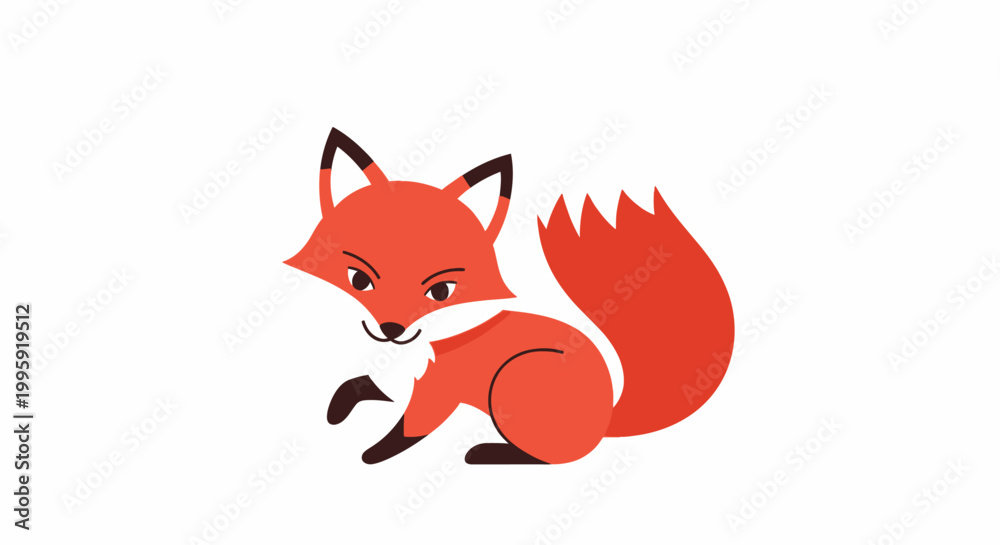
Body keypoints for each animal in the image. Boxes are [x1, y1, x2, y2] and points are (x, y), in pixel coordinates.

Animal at [285, 127, 735, 465]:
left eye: (441, 291)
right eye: (358, 280)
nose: (391, 327)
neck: (407, 352)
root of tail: (607, 416)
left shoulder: (435, 392)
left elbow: (404, 433)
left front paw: (372, 455)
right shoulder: (392, 380)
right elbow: (355, 385)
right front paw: (335, 413)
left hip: (512, 382)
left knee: (553, 457)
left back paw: (489, 453)